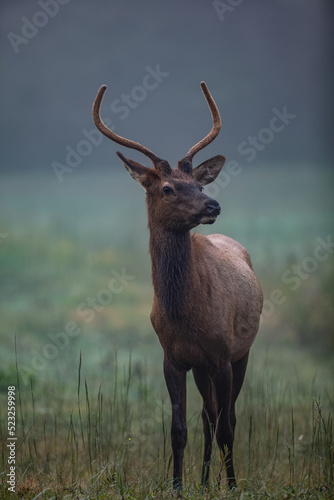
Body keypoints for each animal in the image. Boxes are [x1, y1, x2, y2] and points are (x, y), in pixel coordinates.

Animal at [92, 81, 262, 488]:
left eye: (197, 183)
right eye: (168, 188)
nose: (212, 205)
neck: (184, 314)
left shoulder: (222, 354)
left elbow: (228, 427)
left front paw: (233, 486)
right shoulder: (173, 357)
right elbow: (178, 429)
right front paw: (178, 485)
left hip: (243, 351)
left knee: (227, 417)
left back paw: (220, 480)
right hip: (202, 368)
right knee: (208, 415)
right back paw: (203, 480)